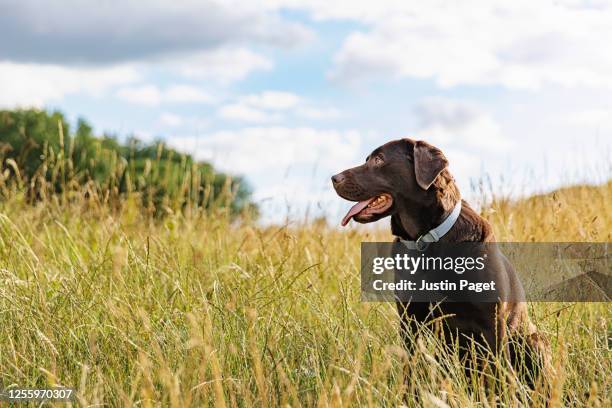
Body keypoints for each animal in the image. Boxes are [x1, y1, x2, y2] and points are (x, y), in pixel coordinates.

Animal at [332, 139, 552, 388]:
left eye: (379, 160)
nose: (333, 178)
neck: (424, 241)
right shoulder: (410, 322)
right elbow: (411, 370)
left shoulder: (492, 323)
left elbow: (499, 375)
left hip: (535, 340)